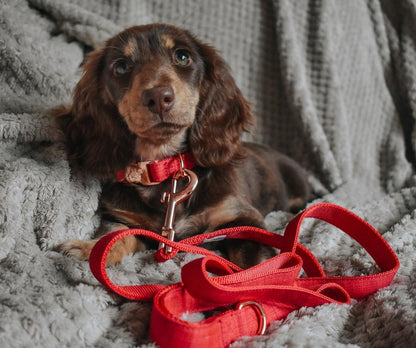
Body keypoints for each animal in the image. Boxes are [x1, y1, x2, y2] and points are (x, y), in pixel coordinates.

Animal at [53, 23, 310, 270]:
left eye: (183, 56)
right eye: (121, 66)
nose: (158, 98)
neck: (163, 167)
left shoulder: (243, 220)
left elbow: (257, 266)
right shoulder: (130, 221)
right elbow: (115, 234)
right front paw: (88, 249)